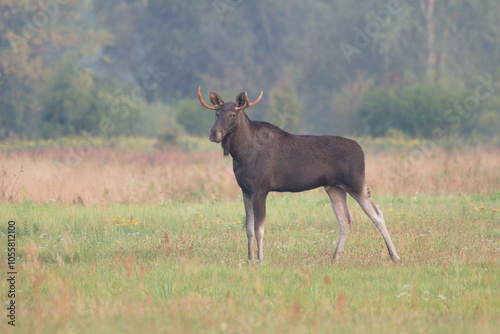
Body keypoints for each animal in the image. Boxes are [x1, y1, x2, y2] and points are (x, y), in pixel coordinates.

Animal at [197, 87, 400, 264]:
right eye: (216, 114)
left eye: (233, 114)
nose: (214, 134)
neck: (240, 153)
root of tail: (361, 150)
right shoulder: (245, 190)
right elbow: (248, 228)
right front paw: (249, 259)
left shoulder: (260, 189)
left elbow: (259, 228)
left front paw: (260, 259)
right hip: (334, 187)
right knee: (345, 220)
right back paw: (335, 257)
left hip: (356, 183)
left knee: (377, 215)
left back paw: (395, 256)